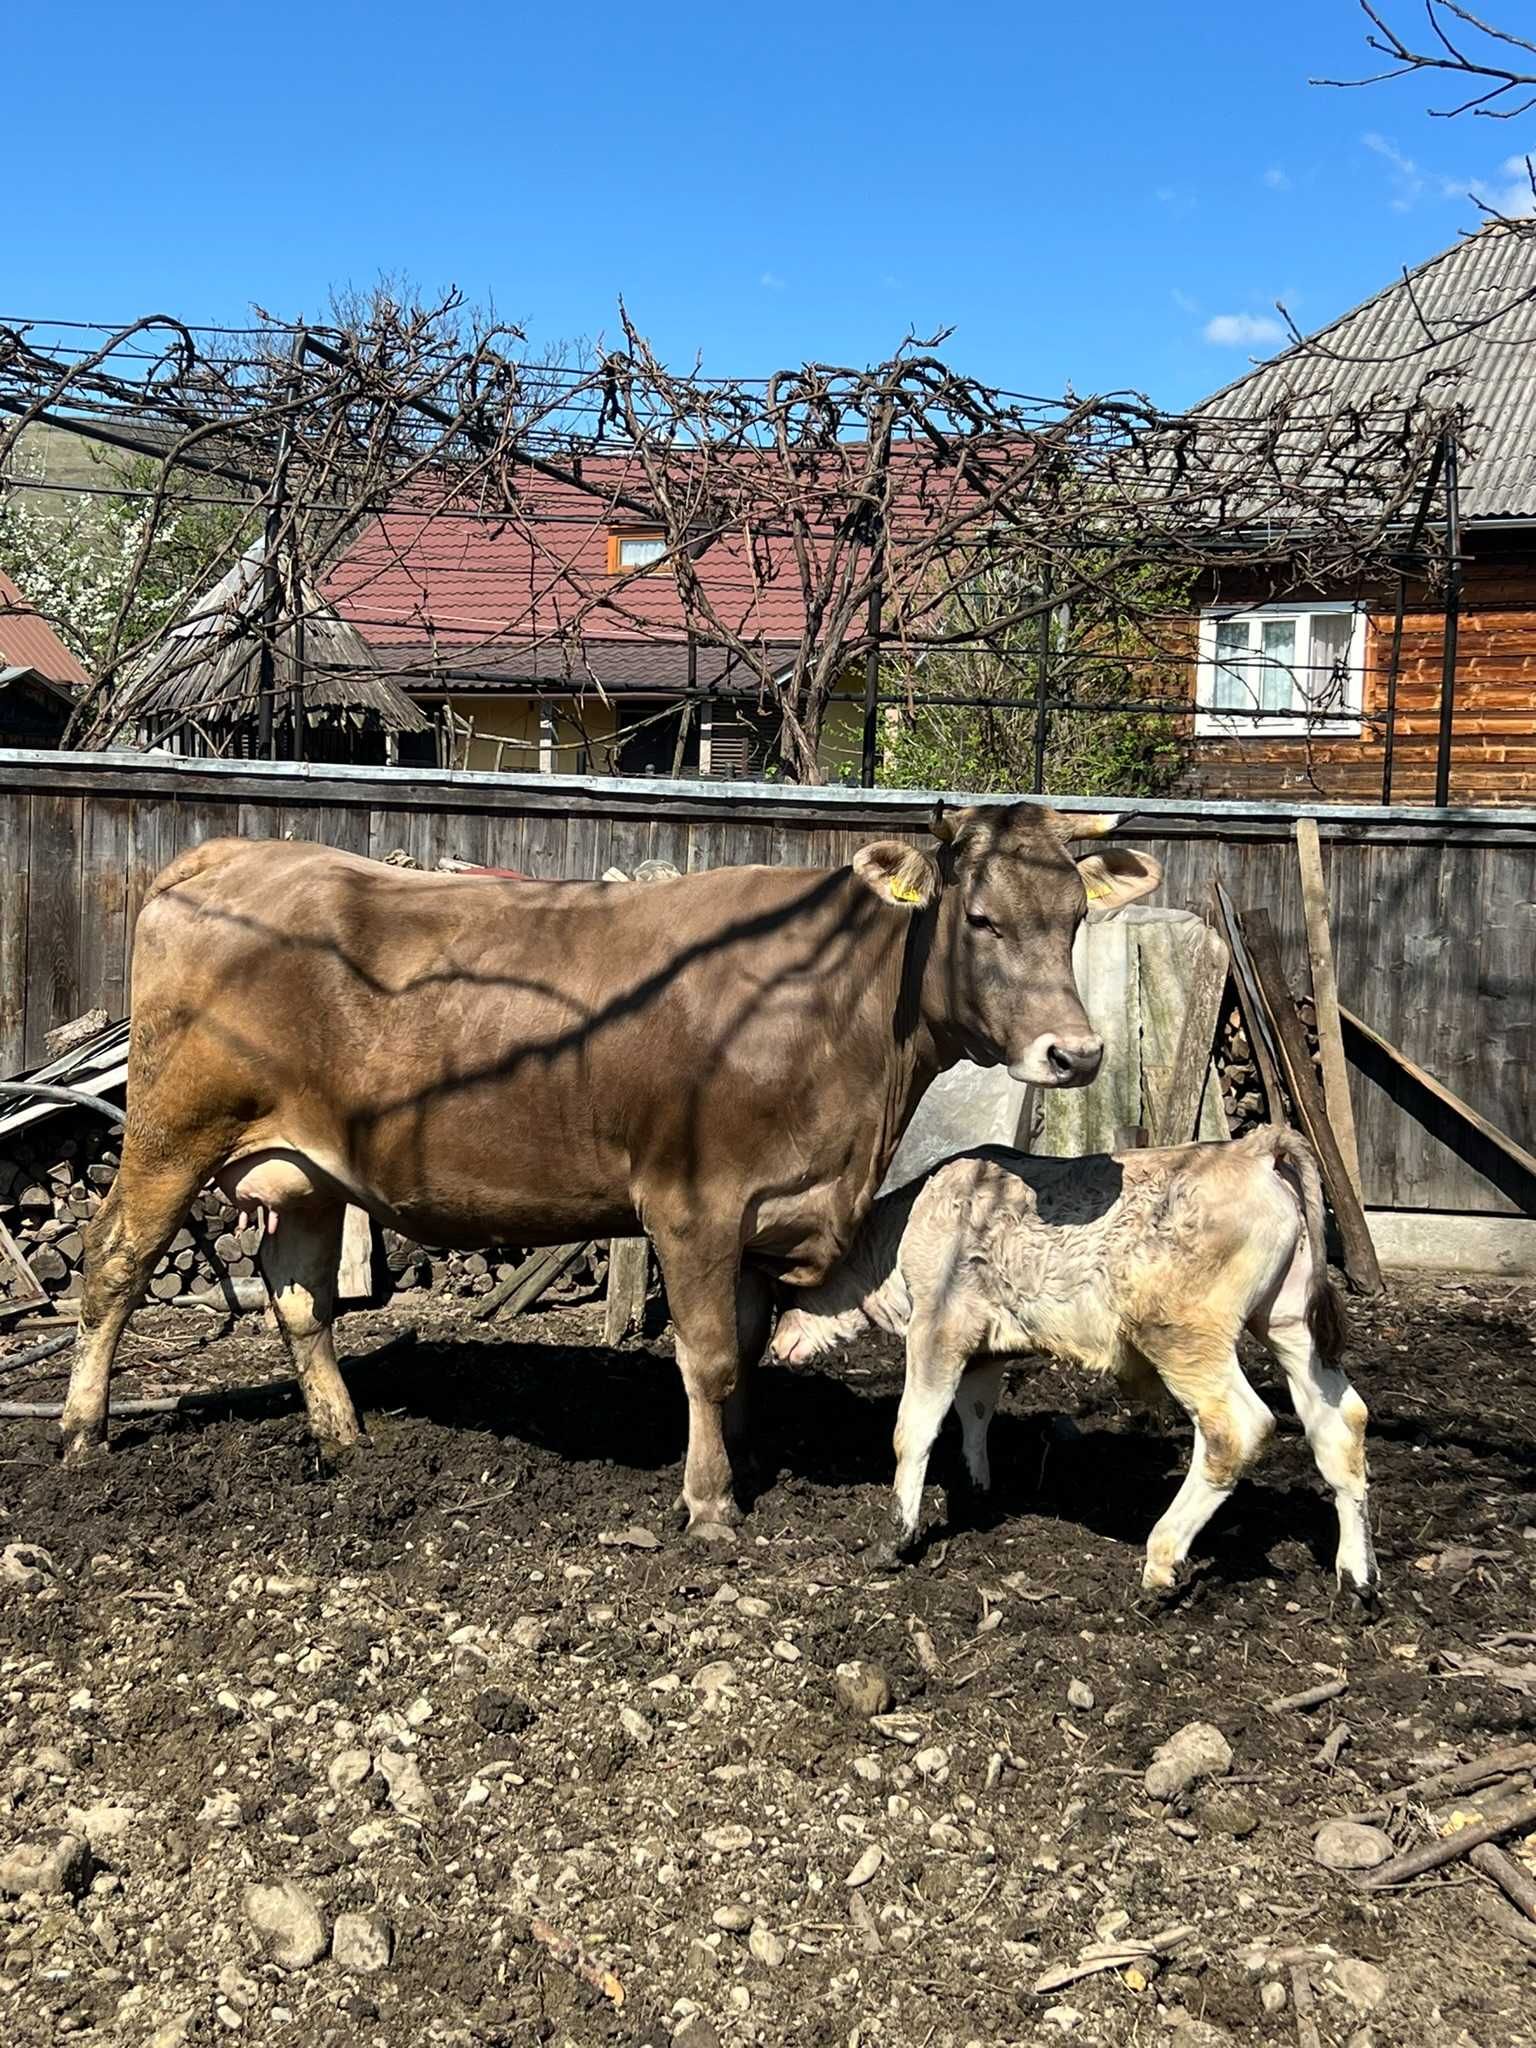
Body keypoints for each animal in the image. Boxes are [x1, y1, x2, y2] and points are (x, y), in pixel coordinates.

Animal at [63, 806, 1163, 1531]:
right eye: (979, 919)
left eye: (1074, 916)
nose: (1076, 1053)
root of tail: (235, 852)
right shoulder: (693, 1203)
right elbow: (708, 1355)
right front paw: (710, 1502)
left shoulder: (767, 1211)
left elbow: (746, 1354)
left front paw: (747, 1457)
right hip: (172, 1129)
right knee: (114, 1261)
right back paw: (82, 1433)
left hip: (304, 1168)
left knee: (300, 1298)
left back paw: (347, 1443)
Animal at [774, 1138, 1376, 1597]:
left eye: (787, 1290)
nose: (776, 1346)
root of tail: (1252, 1147)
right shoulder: (987, 1345)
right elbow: (975, 1410)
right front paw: (978, 1484)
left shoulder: (939, 1326)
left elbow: (914, 1429)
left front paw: (893, 1537)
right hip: (1289, 1325)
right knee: (1341, 1421)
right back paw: (1356, 1577)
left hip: (1183, 1334)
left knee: (1236, 1428)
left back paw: (1161, 1561)